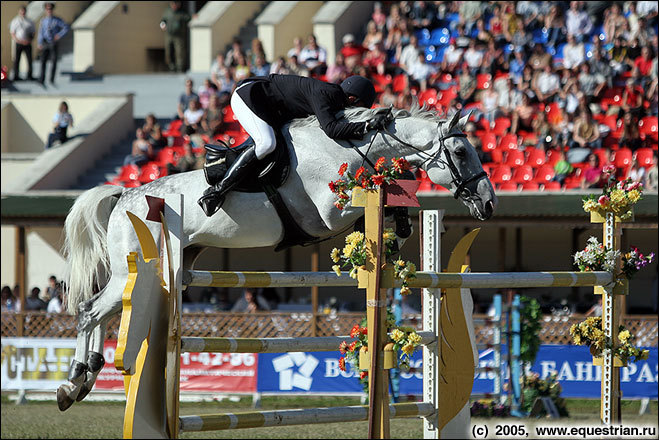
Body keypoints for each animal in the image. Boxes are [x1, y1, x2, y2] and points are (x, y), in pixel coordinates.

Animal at [59, 104, 498, 412]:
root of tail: (124, 196)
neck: (348, 146)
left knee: (103, 313)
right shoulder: (328, 214)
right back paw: (73, 381)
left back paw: (89, 373)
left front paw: (403, 227)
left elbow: (390, 198)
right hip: (135, 269)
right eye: (461, 151)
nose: (489, 204)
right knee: (89, 310)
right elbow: (375, 202)